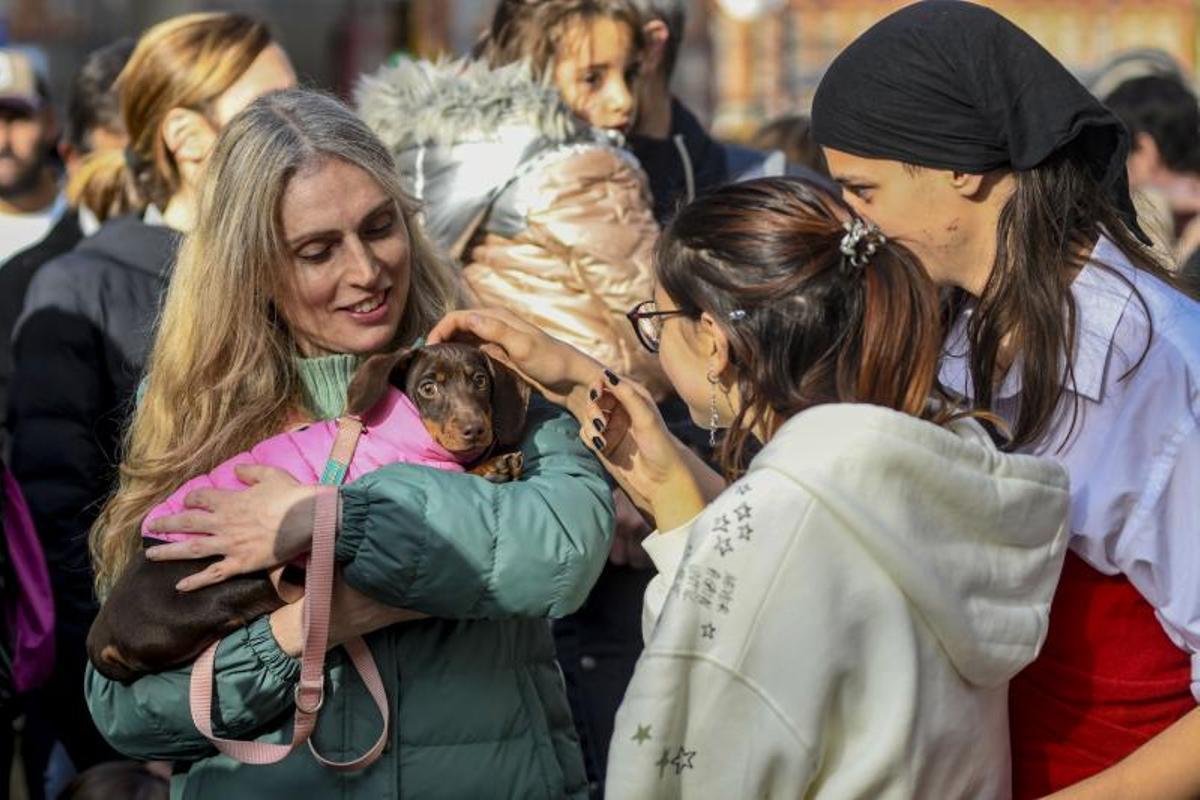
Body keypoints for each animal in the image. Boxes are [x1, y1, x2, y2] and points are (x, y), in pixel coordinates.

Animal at [87, 340, 528, 686]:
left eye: (480, 380)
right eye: (428, 387)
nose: (475, 430)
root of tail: (100, 636)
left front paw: (493, 460)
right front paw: (491, 466)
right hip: (224, 586)